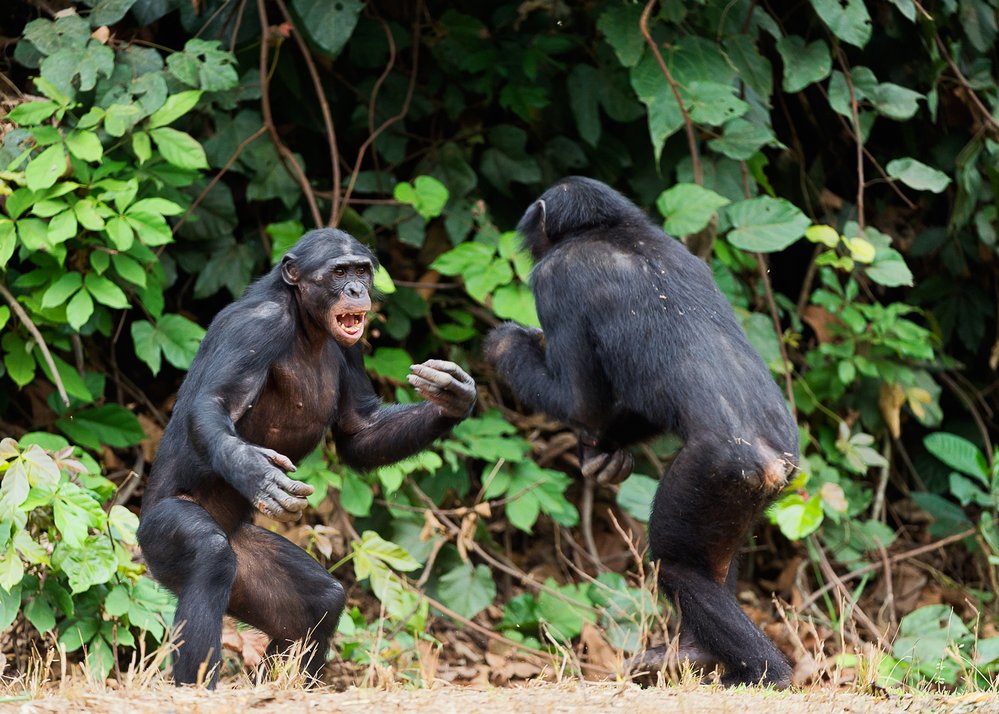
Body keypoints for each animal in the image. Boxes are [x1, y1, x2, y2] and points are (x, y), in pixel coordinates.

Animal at [137, 228, 476, 684]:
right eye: (339, 272)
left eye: (362, 271)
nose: (356, 289)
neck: (305, 324)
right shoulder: (255, 327)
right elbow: (216, 403)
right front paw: (257, 474)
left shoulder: (351, 350)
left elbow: (359, 430)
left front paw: (452, 397)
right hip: (159, 536)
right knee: (210, 557)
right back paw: (195, 686)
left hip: (248, 564)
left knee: (319, 602)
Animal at [484, 177, 796, 684]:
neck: (608, 229)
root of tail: (770, 462)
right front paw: (604, 454)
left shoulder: (553, 280)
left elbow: (581, 401)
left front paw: (505, 342)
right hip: (751, 492)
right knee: (714, 560)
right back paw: (695, 652)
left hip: (711, 475)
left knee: (678, 566)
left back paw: (762, 672)